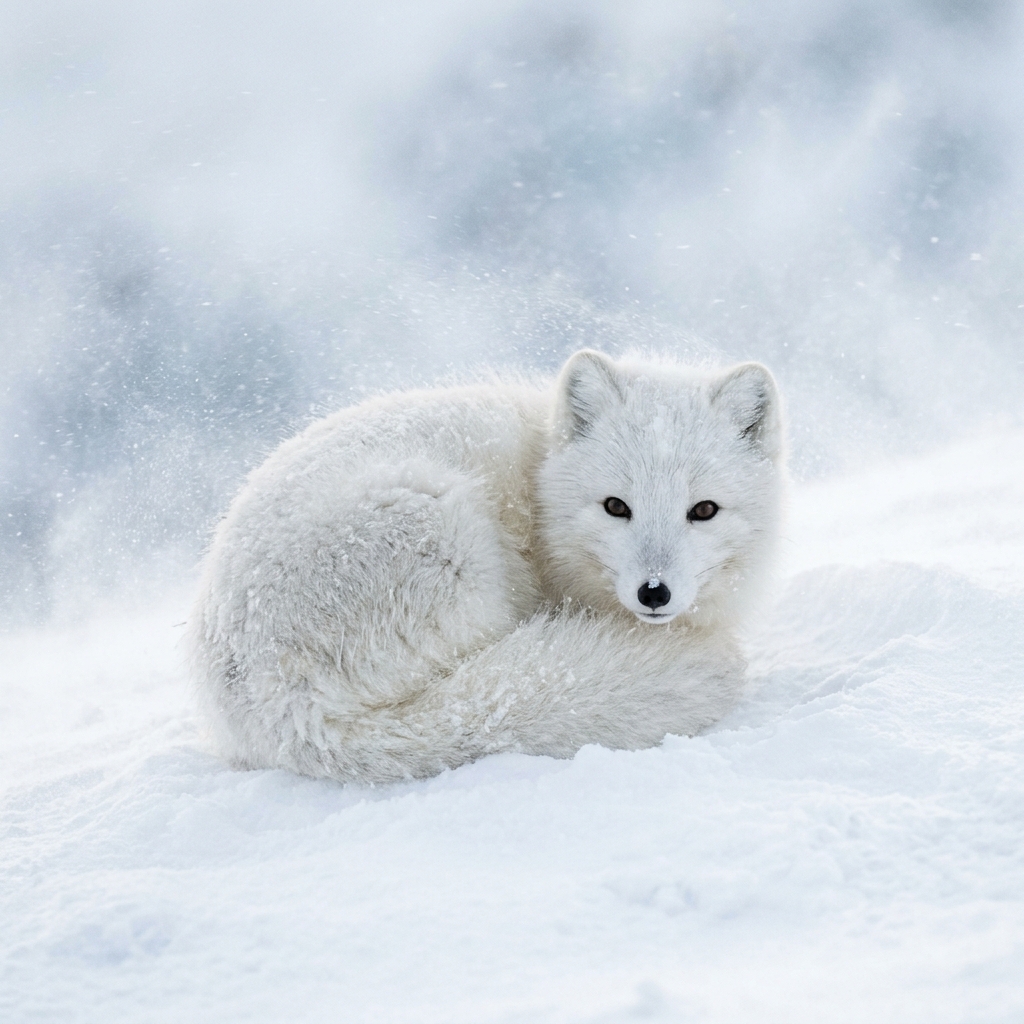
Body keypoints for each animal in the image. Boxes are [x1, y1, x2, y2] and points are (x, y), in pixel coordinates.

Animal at [187, 350, 786, 784]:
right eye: (616, 506)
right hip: (447, 529)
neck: (539, 487)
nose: (653, 592)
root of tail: (284, 711)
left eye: (703, 510)